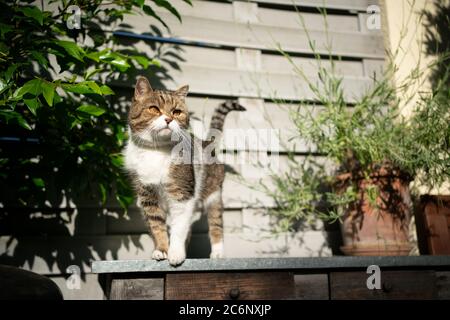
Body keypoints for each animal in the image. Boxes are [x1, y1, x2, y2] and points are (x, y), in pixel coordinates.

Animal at [123, 76, 246, 266]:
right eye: (154, 109)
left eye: (176, 112)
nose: (168, 119)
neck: (157, 151)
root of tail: (206, 143)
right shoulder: (147, 197)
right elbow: (156, 225)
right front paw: (161, 250)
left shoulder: (182, 195)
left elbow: (178, 228)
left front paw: (175, 254)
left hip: (213, 195)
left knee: (215, 223)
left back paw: (217, 252)